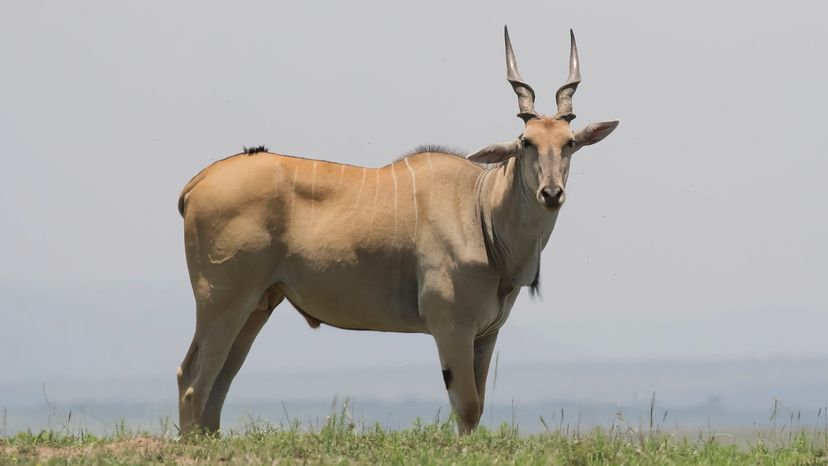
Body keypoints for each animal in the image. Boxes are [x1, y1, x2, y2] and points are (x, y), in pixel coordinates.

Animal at [176, 26, 616, 434]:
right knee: (194, 378)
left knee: (219, 379)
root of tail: (199, 181)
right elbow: (468, 406)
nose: (551, 193)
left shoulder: (486, 334)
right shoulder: (451, 327)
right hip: (223, 299)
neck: (481, 210)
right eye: (526, 141)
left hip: (257, 305)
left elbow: (477, 410)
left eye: (570, 142)